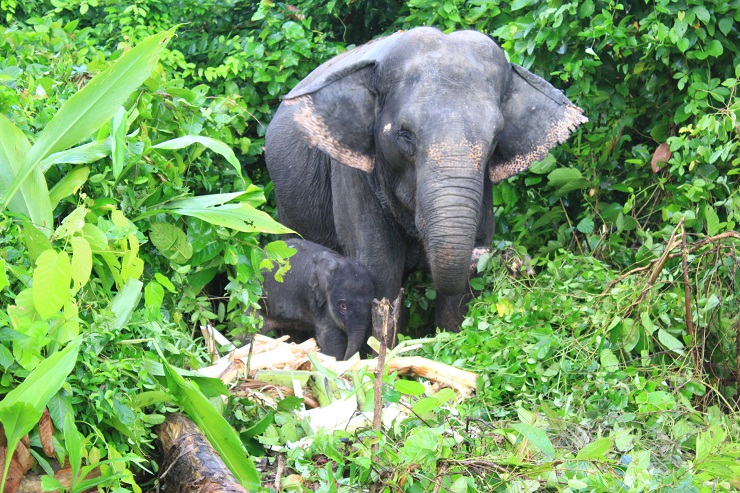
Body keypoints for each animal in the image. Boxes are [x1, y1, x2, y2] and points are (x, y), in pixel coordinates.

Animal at [264, 25, 584, 328]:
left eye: (495, 139)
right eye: (405, 136)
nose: (489, 254)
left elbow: (458, 299)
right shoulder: (351, 175)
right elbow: (379, 269)